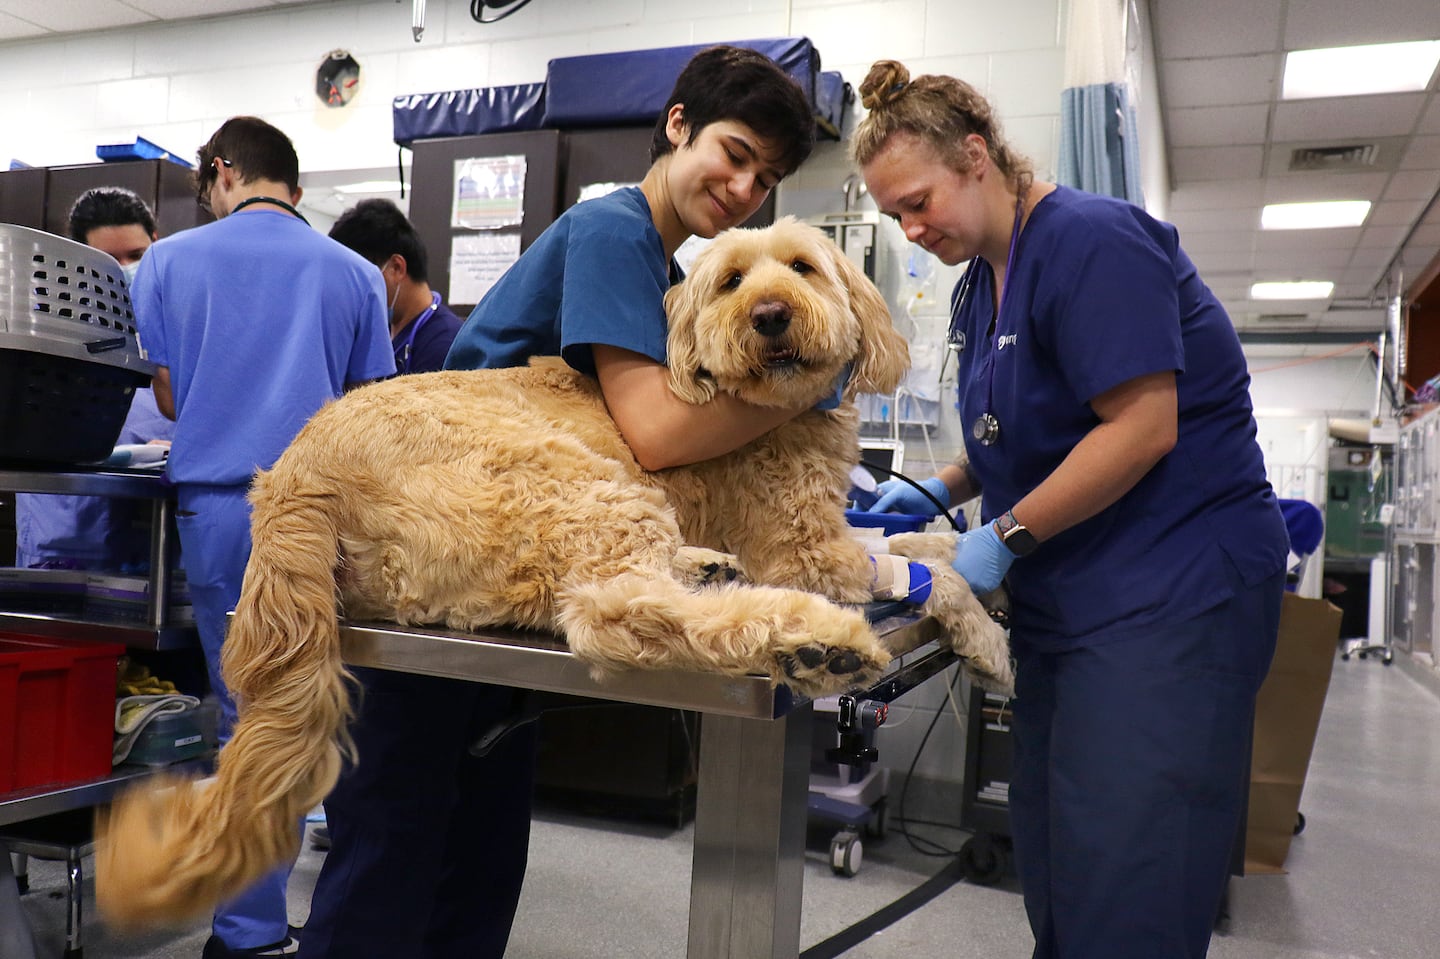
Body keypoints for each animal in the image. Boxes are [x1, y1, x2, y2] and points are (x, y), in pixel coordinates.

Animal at [98, 214, 1013, 927]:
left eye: (801, 267)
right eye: (730, 281)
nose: (771, 315)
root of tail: (292, 471)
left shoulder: (836, 535)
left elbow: (923, 546)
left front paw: (982, 572)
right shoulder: (807, 550)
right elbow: (925, 569)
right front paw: (988, 637)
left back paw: (708, 567)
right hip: (582, 484)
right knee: (613, 610)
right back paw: (812, 640)